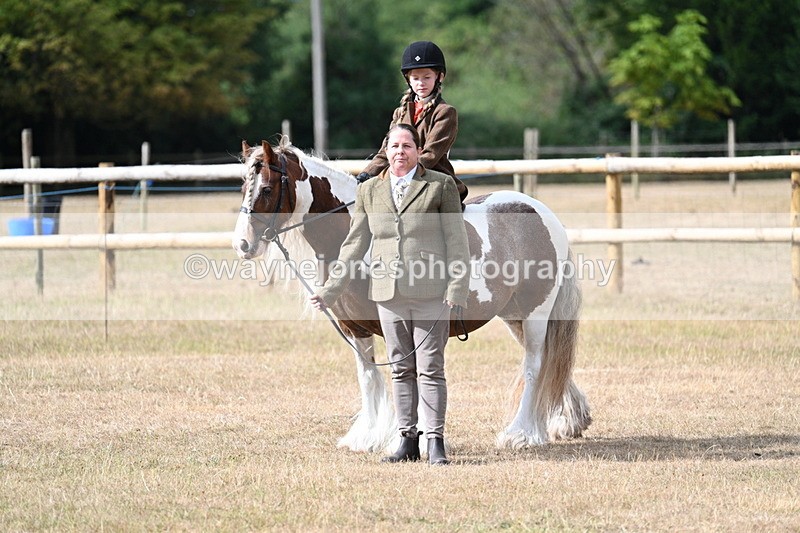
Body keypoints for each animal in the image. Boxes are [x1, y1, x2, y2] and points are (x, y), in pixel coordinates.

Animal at [232, 138, 591, 453]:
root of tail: (542, 212)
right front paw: (366, 437)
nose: (242, 244)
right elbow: (368, 377)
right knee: (548, 362)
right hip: (514, 316)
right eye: (243, 186)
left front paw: (401, 439)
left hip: (536, 313)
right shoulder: (355, 329)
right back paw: (566, 421)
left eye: (266, 189)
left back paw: (520, 434)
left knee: (534, 366)